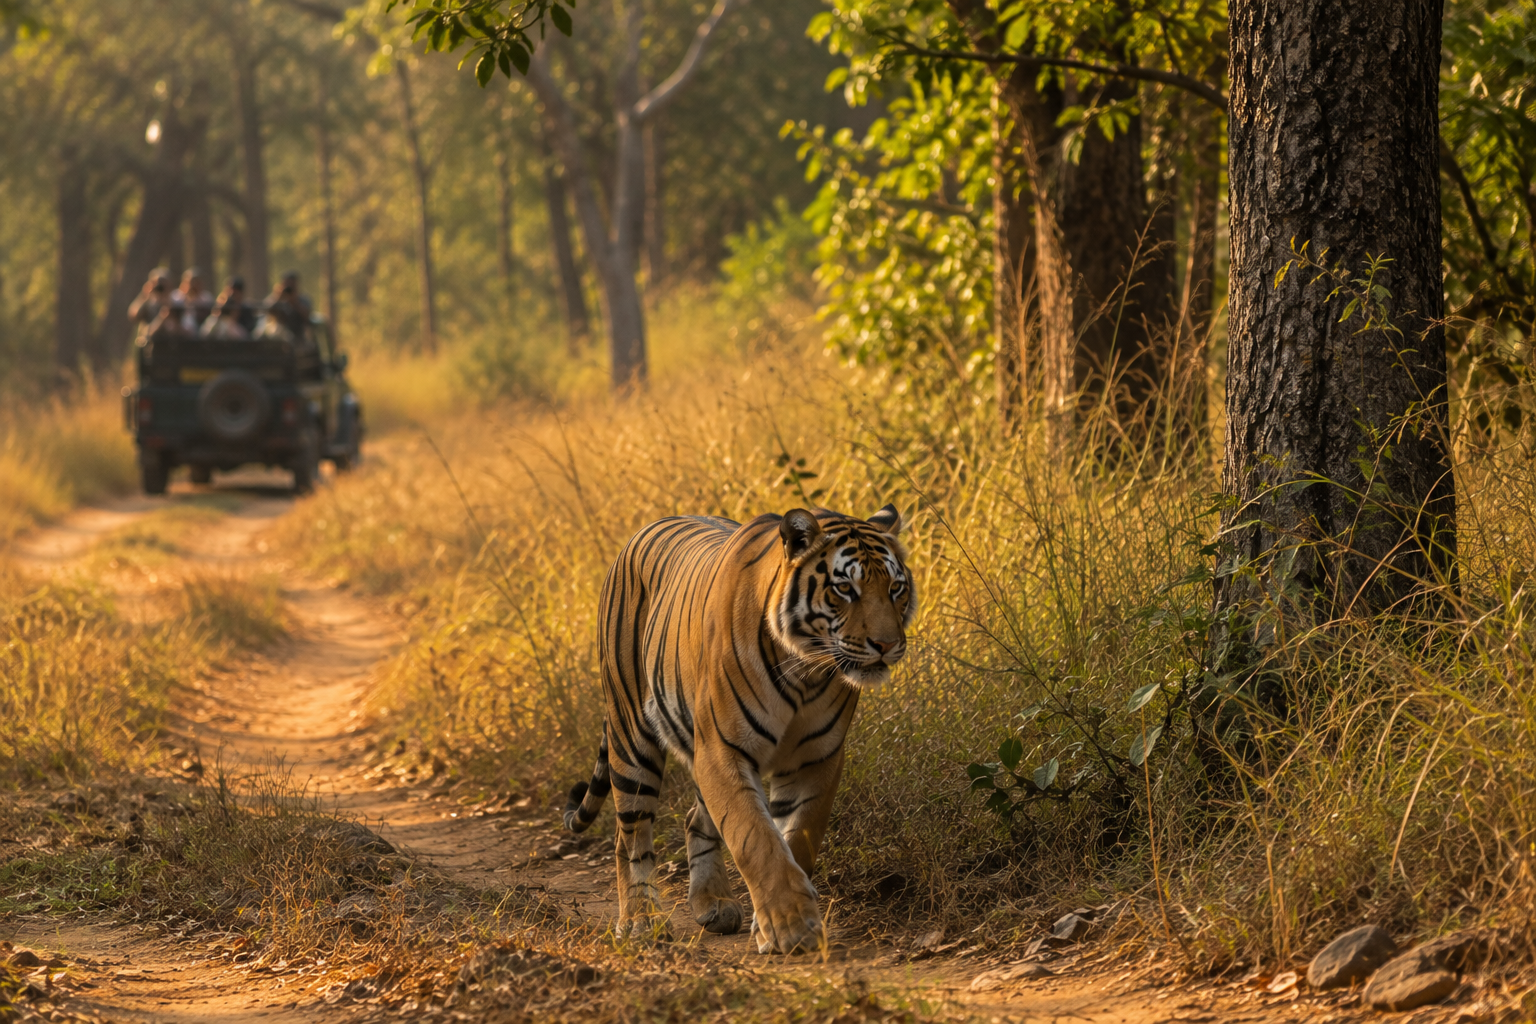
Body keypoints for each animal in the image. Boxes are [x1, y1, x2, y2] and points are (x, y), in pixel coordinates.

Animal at [562, 504, 916, 953]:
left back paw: (713, 903)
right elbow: (756, 839)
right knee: (631, 836)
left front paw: (773, 926)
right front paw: (792, 927)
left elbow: (797, 839)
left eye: (896, 588)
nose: (887, 645)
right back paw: (642, 923)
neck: (805, 671)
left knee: (694, 819)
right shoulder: (723, 751)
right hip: (632, 735)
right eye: (844, 589)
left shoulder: (816, 759)